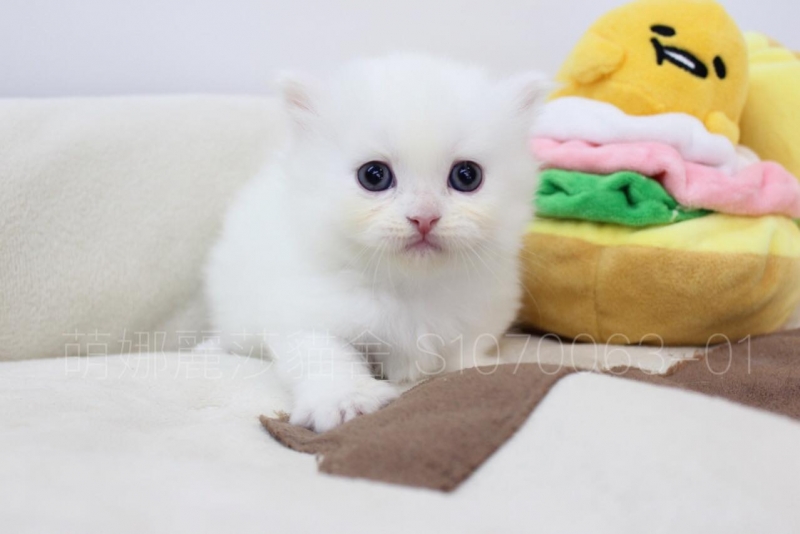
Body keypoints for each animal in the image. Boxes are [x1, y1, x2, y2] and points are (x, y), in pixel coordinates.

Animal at [203, 55, 547, 432]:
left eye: (467, 176)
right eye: (374, 176)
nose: (424, 217)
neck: (411, 288)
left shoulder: (477, 319)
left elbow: (461, 357)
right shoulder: (303, 311)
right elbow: (325, 355)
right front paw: (346, 401)